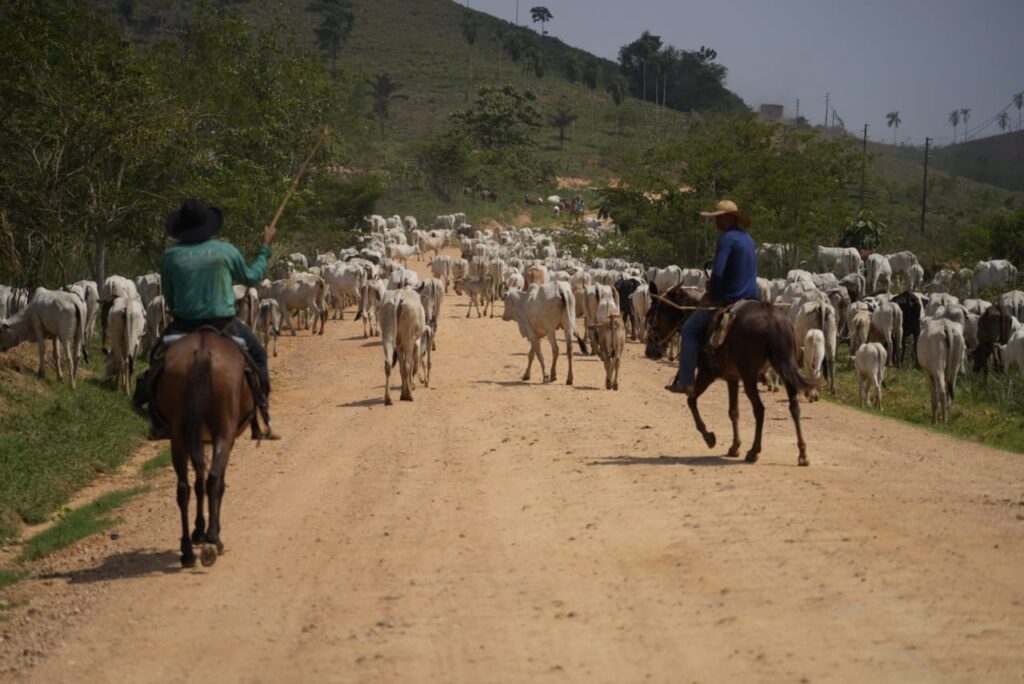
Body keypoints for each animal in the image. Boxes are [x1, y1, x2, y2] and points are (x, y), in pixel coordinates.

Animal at [152, 329, 256, 565]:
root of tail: (201, 353)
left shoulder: (195, 437)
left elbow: (198, 482)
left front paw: (198, 531)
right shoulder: (226, 438)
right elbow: (216, 482)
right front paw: (207, 532)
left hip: (178, 435)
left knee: (184, 488)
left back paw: (187, 551)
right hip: (224, 431)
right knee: (214, 479)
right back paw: (214, 540)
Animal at [647, 286, 815, 466]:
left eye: (651, 317)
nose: (649, 351)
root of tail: (773, 320)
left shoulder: (707, 374)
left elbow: (691, 401)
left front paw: (709, 437)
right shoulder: (732, 378)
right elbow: (733, 411)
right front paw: (735, 446)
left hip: (749, 377)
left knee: (759, 409)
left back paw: (754, 451)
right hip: (784, 369)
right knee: (794, 407)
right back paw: (803, 453)